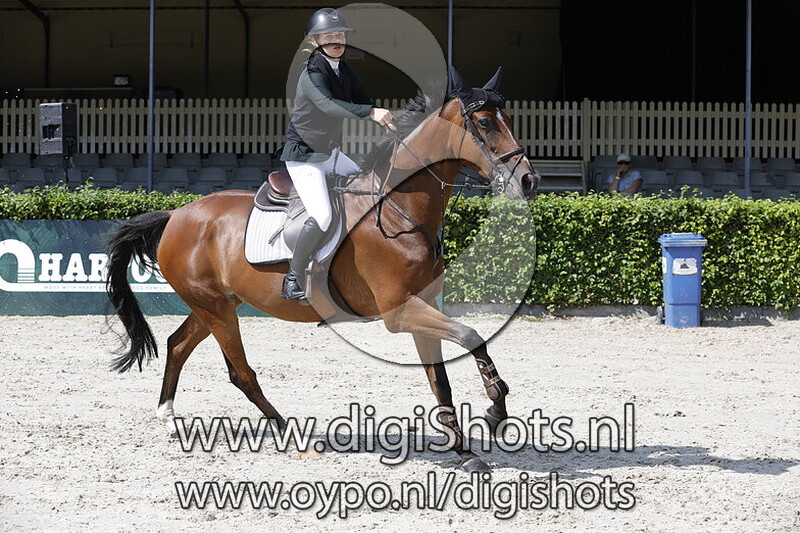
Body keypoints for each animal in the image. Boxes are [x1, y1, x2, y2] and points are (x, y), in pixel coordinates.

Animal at [106, 67, 540, 472]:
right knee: (241, 373)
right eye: (484, 123)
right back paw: (290, 434)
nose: (529, 180)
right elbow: (472, 336)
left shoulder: (423, 306)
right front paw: (495, 411)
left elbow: (441, 382)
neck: (398, 209)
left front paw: (466, 452)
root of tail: (176, 213)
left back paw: (168, 416)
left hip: (215, 303)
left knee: (178, 345)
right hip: (216, 308)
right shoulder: (399, 312)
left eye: (507, 119)